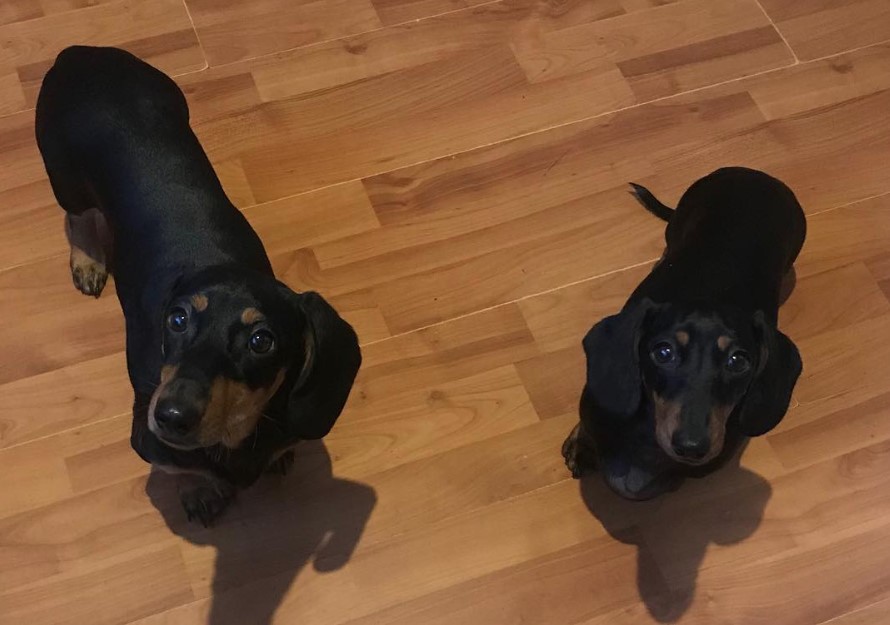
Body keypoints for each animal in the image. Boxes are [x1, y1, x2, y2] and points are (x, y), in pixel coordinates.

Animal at [34, 46, 360, 520]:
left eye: (262, 341)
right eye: (177, 319)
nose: (170, 415)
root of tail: (80, 54)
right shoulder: (150, 440)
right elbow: (181, 467)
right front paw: (198, 491)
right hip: (64, 175)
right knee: (77, 215)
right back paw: (88, 259)